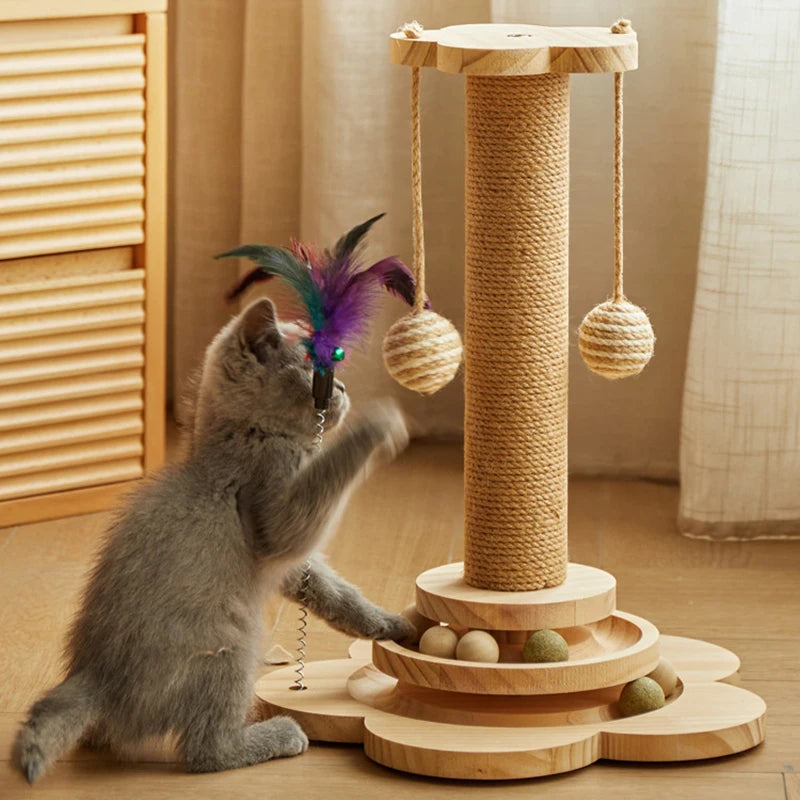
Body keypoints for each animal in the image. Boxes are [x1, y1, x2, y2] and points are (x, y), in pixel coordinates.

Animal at [12, 298, 416, 780]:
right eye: (315, 373)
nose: (344, 388)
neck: (239, 440)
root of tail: (95, 679)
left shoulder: (290, 567)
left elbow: (334, 591)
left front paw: (386, 623)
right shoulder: (277, 519)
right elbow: (314, 495)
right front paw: (379, 424)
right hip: (230, 644)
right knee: (207, 751)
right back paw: (278, 734)